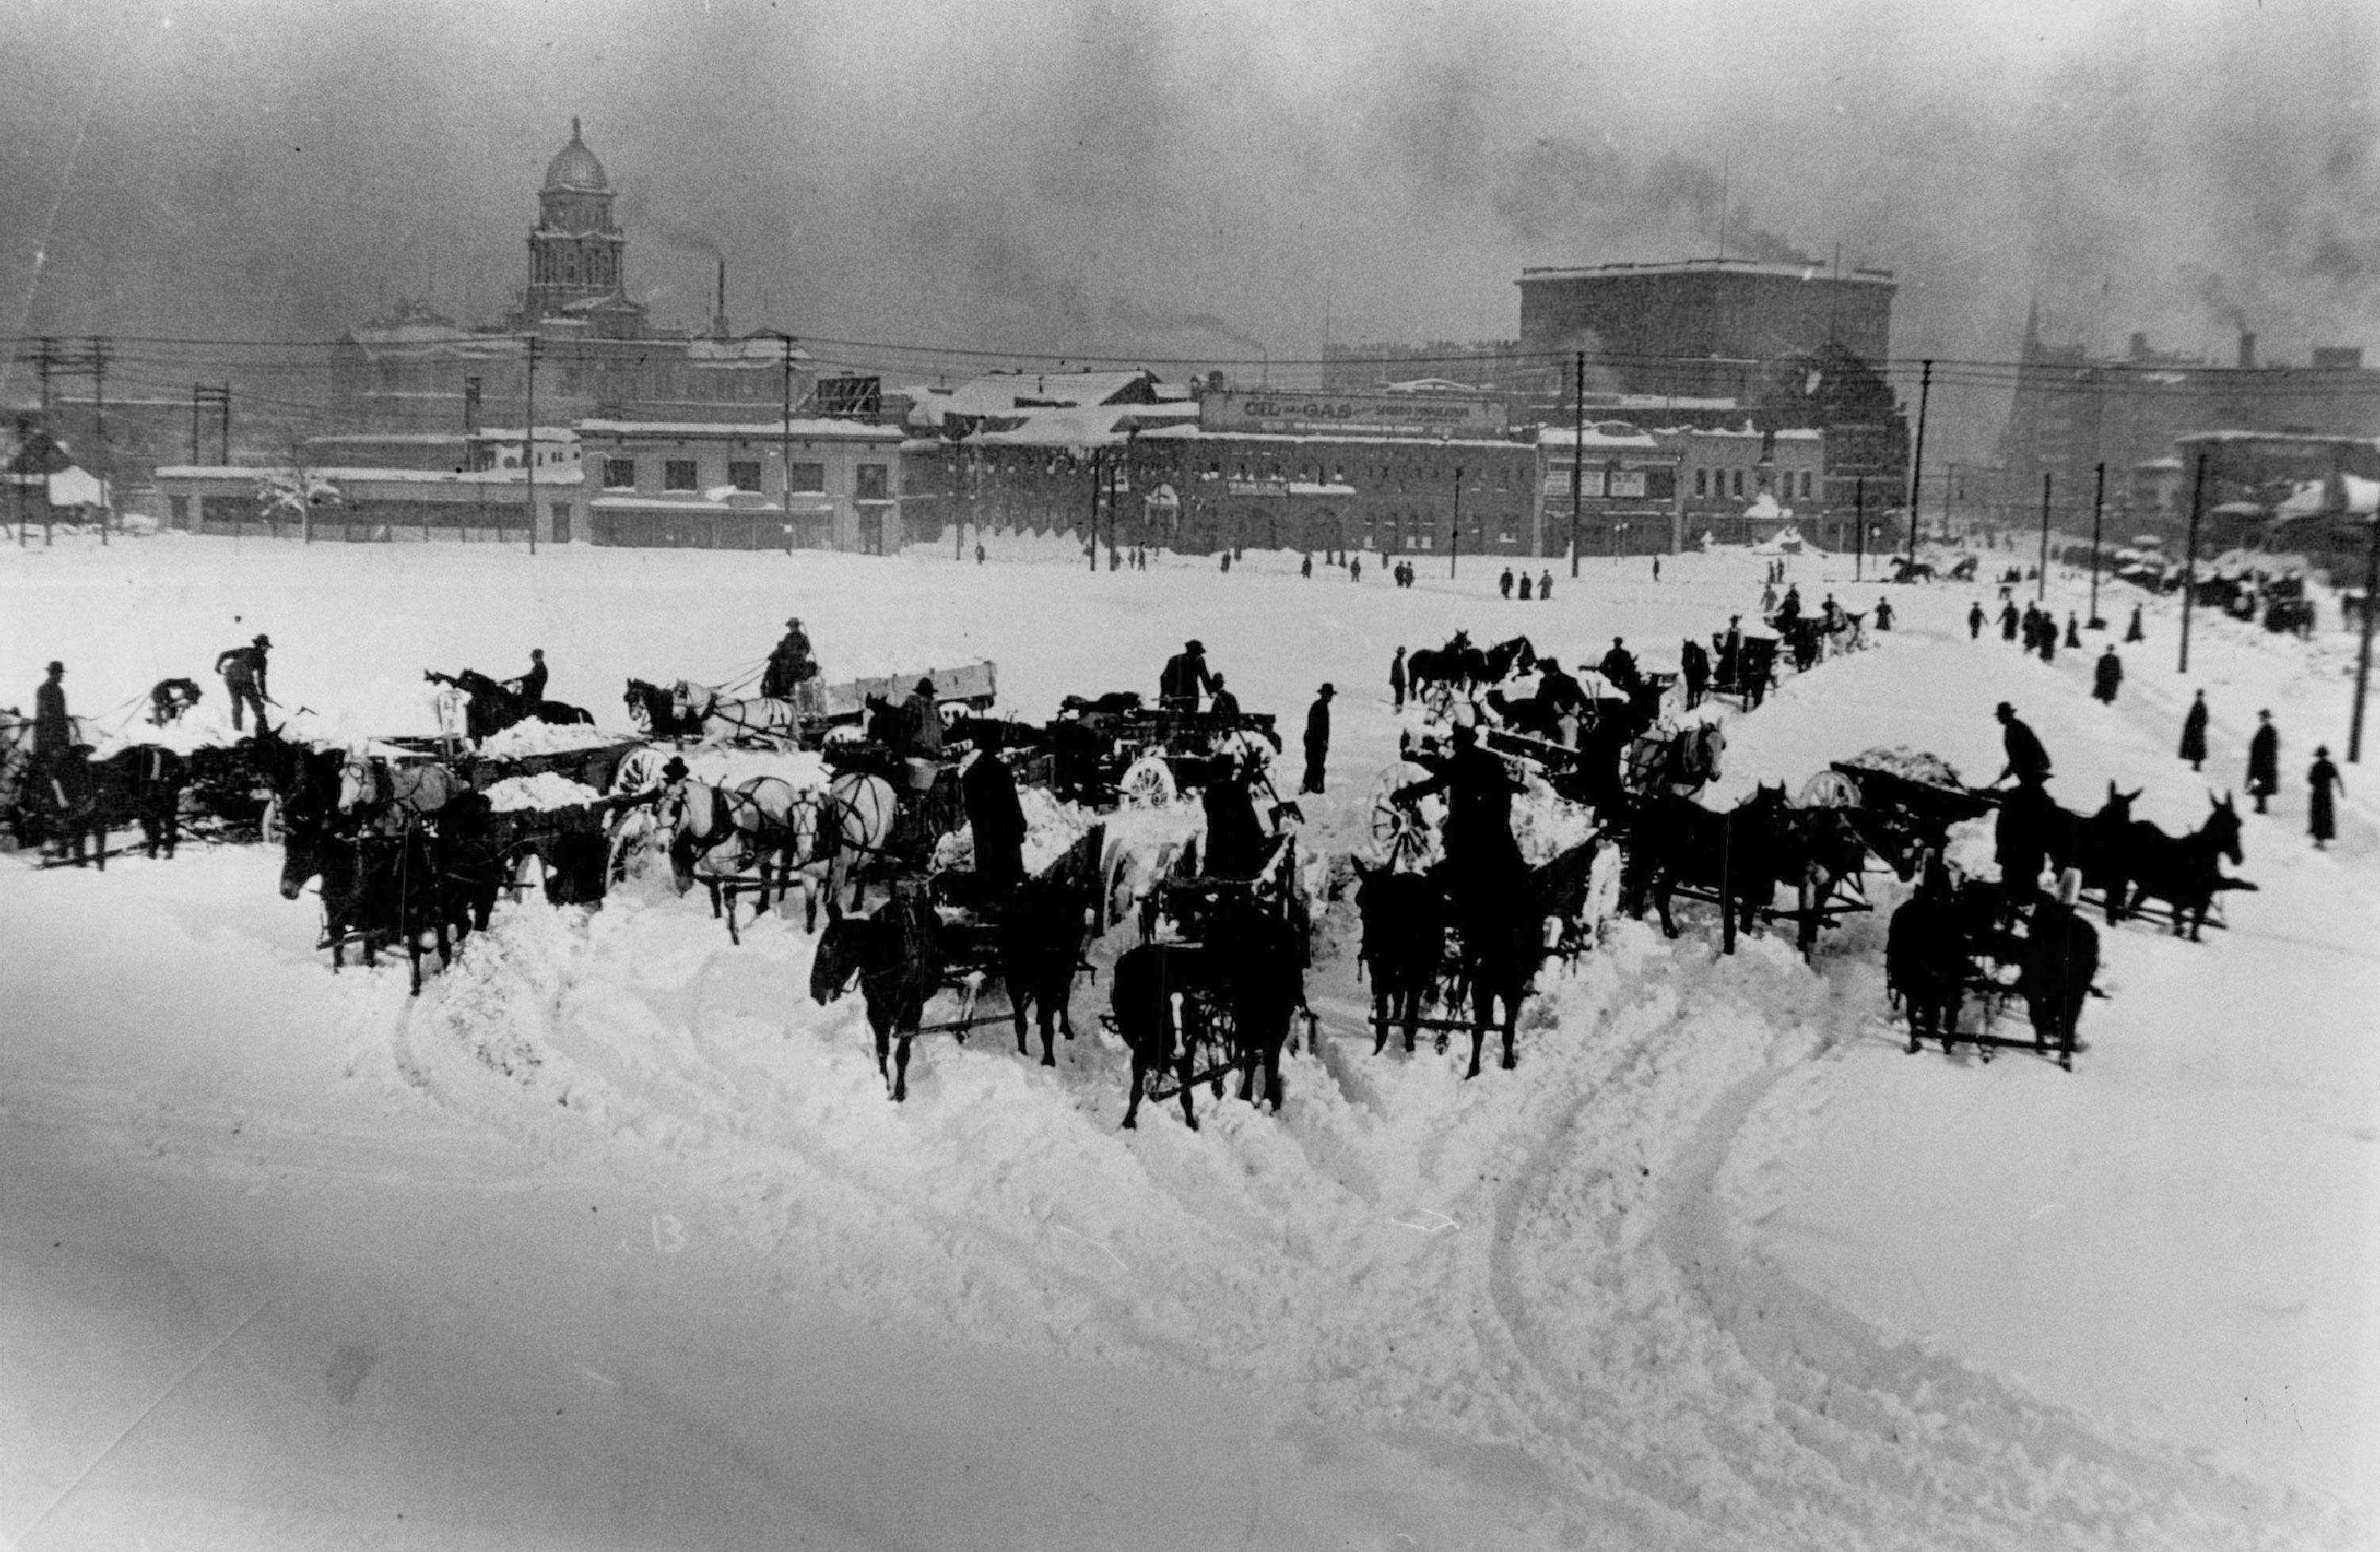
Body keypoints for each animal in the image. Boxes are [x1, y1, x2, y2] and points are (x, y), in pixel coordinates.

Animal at [2104, 795, 2247, 938]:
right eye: (2225, 824)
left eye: (2238, 823)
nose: (2239, 857)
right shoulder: (2180, 903)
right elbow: (2180, 930)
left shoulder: (2201, 906)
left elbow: (2193, 934)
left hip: (2141, 887)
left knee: (2127, 908)